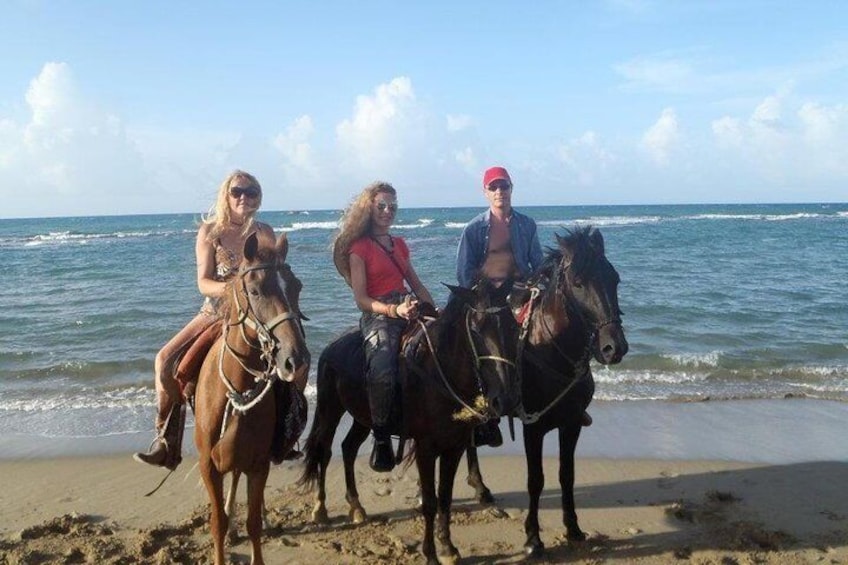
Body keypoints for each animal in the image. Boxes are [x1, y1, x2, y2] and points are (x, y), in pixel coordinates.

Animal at [194, 230, 310, 564]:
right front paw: (226, 531)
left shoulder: (258, 465)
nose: (296, 360)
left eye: (296, 287)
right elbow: (217, 524)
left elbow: (254, 522)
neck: (237, 388)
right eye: (256, 290)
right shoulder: (209, 467)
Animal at [298, 282, 524, 564]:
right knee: (324, 452)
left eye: (513, 326)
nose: (506, 399)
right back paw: (320, 509)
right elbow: (429, 501)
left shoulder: (454, 447)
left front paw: (448, 548)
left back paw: (356, 506)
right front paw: (431, 554)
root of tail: (331, 346)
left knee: (348, 448)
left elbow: (445, 497)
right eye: (476, 328)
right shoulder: (426, 449)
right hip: (330, 410)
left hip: (364, 416)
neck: (439, 373)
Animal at [460, 227, 628, 556]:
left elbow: (567, 475)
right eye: (578, 283)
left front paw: (573, 528)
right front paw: (533, 539)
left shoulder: (572, 423)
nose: (613, 347)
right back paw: (480, 488)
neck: (550, 350)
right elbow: (535, 480)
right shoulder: (533, 427)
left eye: (614, 278)